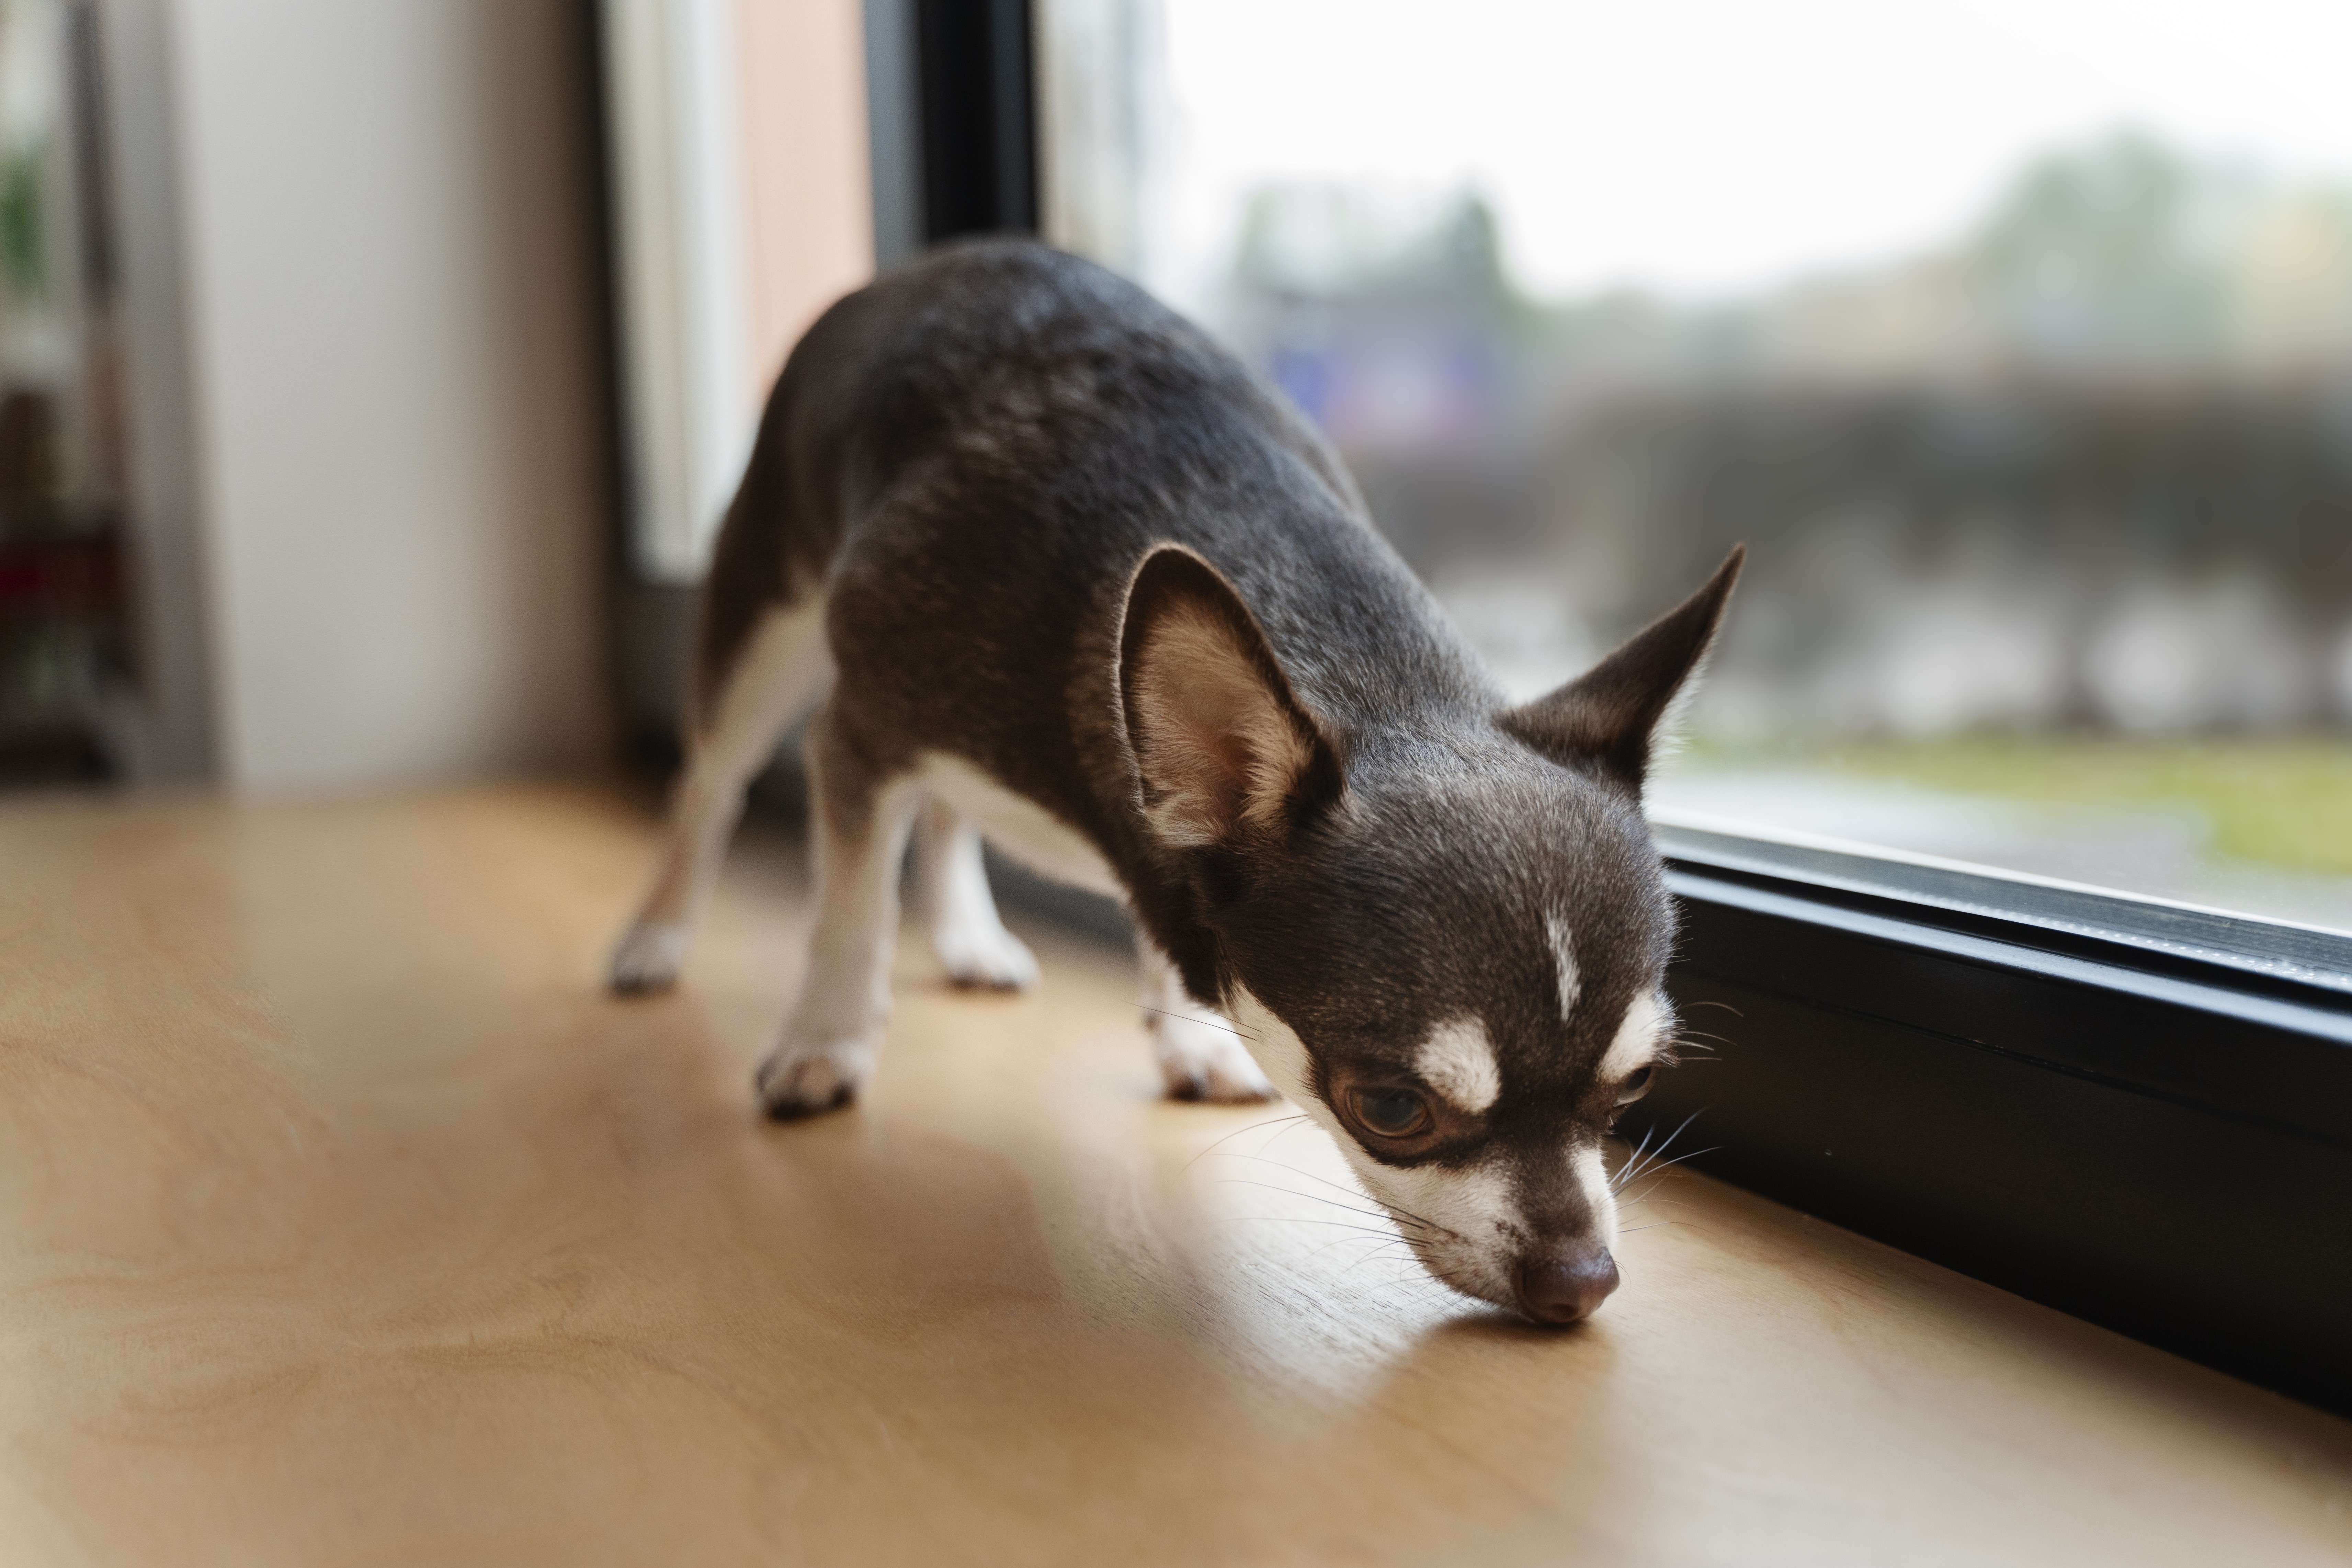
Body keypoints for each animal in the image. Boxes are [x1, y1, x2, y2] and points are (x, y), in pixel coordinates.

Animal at [616, 246, 1740, 1326]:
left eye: (1638, 1082)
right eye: (1390, 1108)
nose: (1582, 1281)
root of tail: (917, 266)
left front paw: (1186, 1035)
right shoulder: (861, 729)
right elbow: (850, 911)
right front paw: (828, 1040)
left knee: (940, 810)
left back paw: (969, 937)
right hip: (763, 625)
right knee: (710, 785)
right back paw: (655, 938)